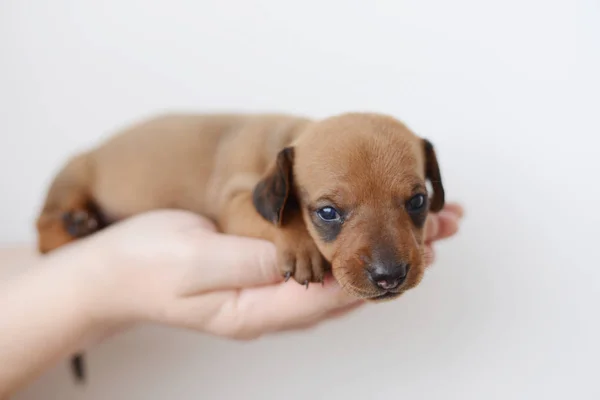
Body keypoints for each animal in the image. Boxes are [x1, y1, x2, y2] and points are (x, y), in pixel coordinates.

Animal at [34, 112, 446, 382]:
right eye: (328, 213)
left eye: (417, 201)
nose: (389, 276)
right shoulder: (235, 202)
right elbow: (278, 219)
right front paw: (302, 248)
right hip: (73, 175)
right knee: (44, 226)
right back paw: (78, 226)